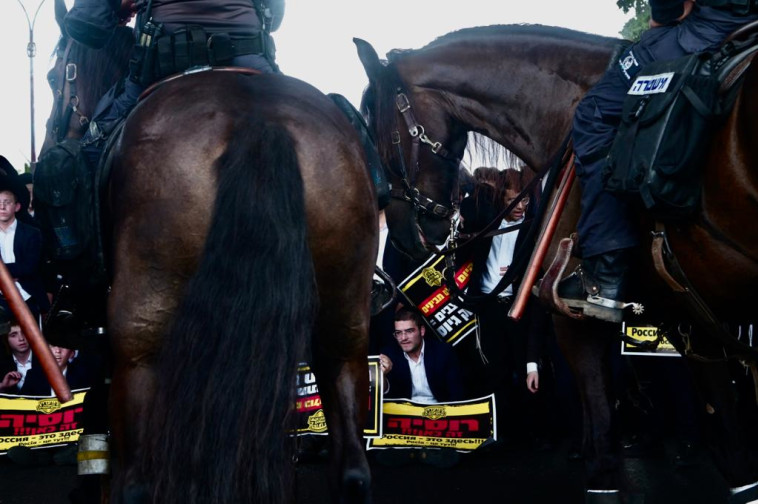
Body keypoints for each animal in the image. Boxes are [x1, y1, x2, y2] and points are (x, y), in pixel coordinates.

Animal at [38, 2, 378, 500]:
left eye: (51, 76)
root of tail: (259, 122)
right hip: (345, 308)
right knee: (352, 463)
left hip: (143, 326)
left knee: (139, 477)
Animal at [360, 25, 758, 502]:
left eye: (381, 138)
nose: (401, 237)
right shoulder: (691, 319)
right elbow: (730, 440)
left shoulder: (577, 324)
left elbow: (602, 434)